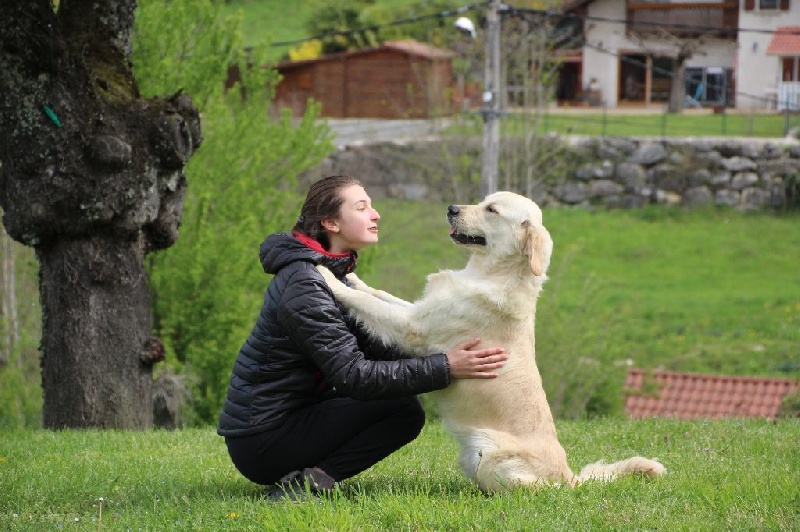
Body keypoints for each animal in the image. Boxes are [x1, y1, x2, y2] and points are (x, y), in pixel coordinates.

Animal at [316, 190, 664, 490]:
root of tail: (569, 478)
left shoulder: (413, 327)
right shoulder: (420, 310)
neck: (490, 273)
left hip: (491, 454)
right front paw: (353, 275)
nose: (451, 208)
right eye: (483, 201)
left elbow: (368, 303)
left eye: (492, 210)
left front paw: (327, 275)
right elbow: (379, 294)